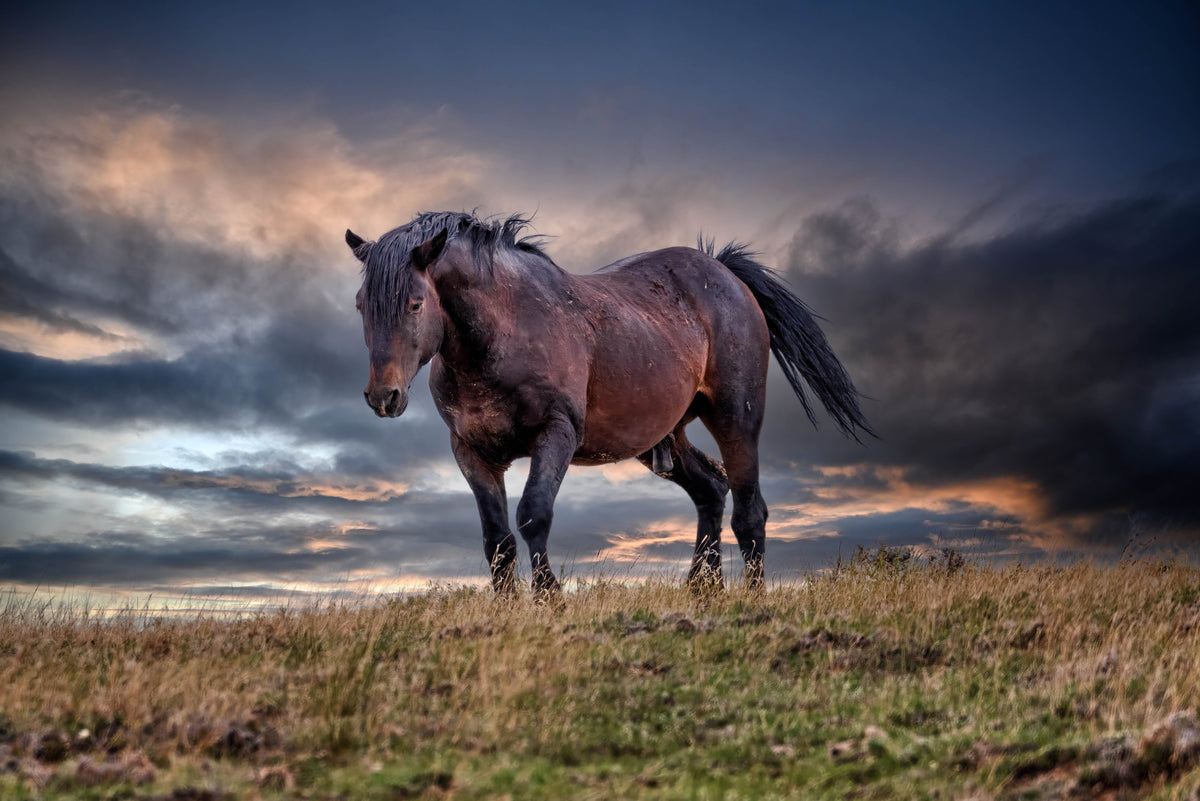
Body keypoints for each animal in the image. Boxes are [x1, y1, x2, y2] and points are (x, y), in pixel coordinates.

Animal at [347, 211, 872, 597]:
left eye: (416, 303)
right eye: (360, 305)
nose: (383, 396)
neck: (503, 331)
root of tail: (723, 272)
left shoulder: (556, 433)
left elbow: (534, 515)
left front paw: (549, 600)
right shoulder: (472, 451)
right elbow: (496, 538)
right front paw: (507, 609)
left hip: (735, 419)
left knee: (750, 510)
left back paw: (752, 599)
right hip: (663, 437)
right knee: (711, 490)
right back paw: (702, 591)